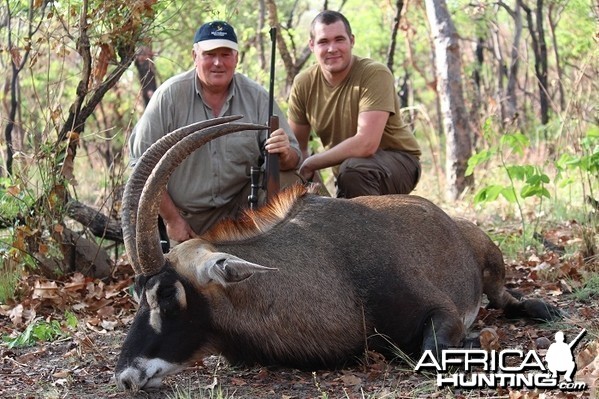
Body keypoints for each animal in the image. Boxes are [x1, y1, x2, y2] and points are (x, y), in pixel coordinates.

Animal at [115, 115, 560, 390]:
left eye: (167, 295)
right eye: (136, 294)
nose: (125, 377)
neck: (333, 265)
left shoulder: (444, 311)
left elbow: (430, 349)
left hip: (490, 260)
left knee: (503, 297)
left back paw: (542, 308)